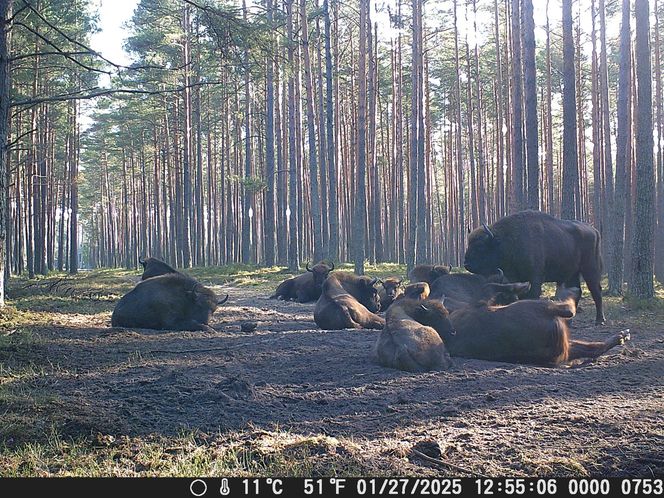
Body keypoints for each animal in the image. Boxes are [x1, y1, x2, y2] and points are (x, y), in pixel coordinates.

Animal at [464, 209, 604, 322]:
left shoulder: (535, 277)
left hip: (590, 269)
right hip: (572, 274)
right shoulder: (515, 277)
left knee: (596, 290)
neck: (507, 239)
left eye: (480, 246)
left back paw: (599, 320)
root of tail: (594, 230)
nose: (466, 264)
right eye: (469, 243)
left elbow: (533, 295)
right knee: (577, 291)